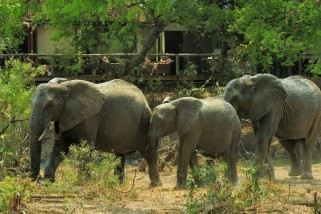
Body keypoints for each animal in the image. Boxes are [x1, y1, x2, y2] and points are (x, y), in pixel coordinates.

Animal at [29, 77, 160, 186]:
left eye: (50, 105)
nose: (36, 178)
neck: (64, 87)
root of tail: (144, 97)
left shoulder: (91, 119)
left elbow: (85, 148)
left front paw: (82, 182)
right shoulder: (63, 117)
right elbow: (60, 148)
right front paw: (47, 182)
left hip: (144, 123)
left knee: (148, 152)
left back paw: (156, 184)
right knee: (120, 154)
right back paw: (117, 183)